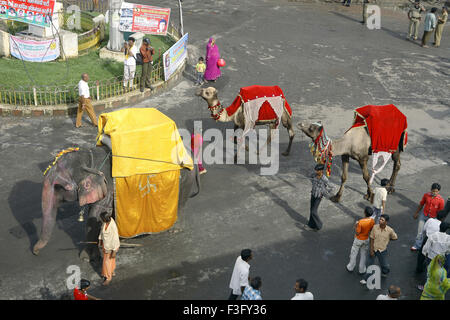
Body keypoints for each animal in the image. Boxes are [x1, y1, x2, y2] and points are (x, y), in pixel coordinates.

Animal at [32, 136, 200, 262]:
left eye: (59, 187)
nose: (35, 252)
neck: (90, 158)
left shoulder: (108, 189)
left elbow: (95, 215)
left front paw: (86, 258)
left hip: (184, 181)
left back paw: (173, 230)